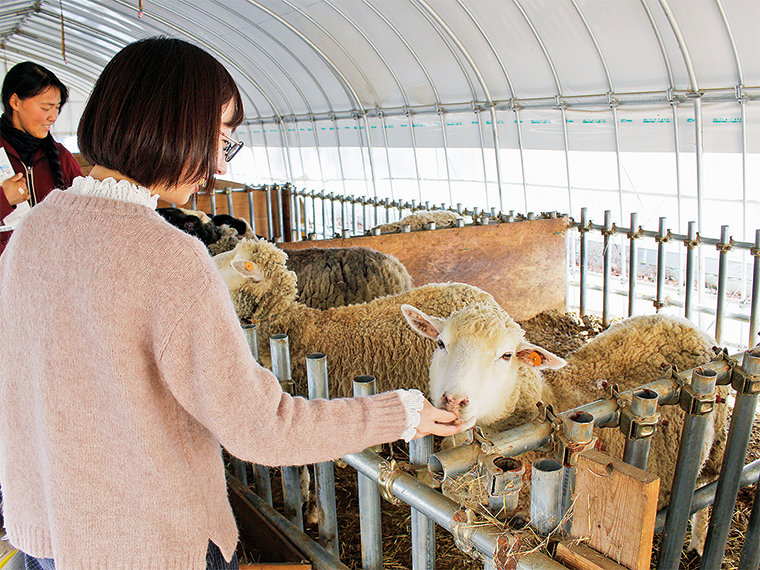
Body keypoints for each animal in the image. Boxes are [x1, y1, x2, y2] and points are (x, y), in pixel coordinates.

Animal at [406, 304, 728, 552]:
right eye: (441, 344)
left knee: (706, 490)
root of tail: (679, 319)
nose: (453, 400)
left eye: (506, 355)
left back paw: (698, 544)